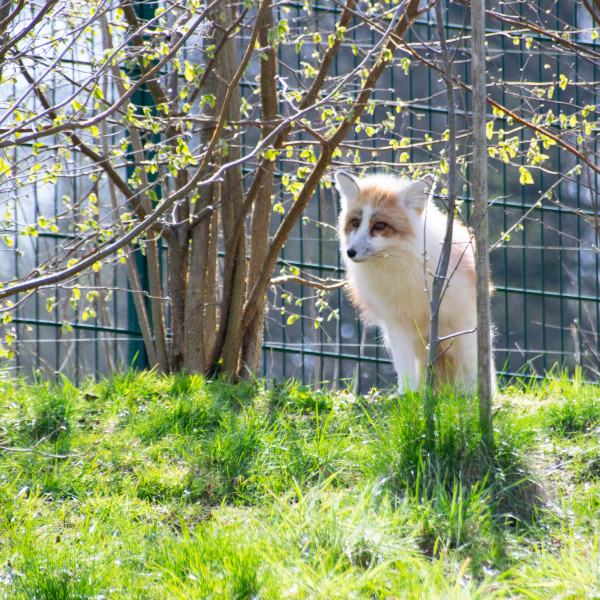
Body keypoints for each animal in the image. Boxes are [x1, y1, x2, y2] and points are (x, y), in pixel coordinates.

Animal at [332, 170, 492, 394]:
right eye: (355, 222)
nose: (350, 252)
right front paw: (407, 395)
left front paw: (475, 397)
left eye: (379, 225)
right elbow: (404, 368)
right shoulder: (397, 322)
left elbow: (473, 367)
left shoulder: (465, 318)